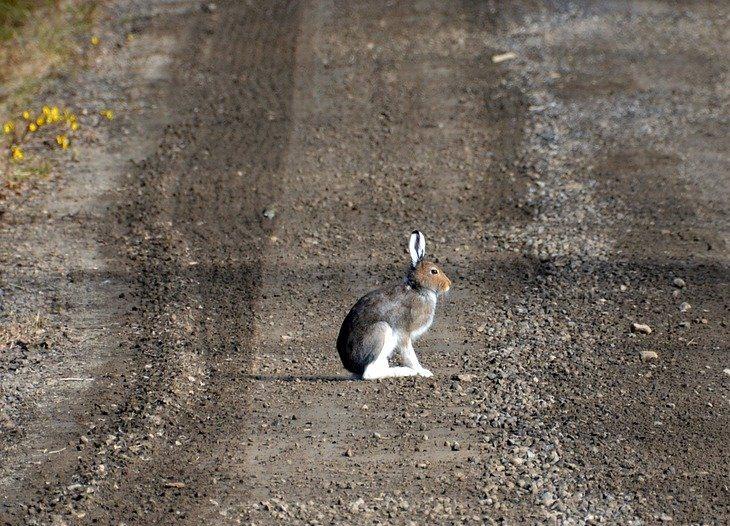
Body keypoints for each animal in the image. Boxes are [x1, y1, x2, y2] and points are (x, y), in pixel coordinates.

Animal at [337, 231, 451, 379]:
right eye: (434, 271)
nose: (449, 284)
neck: (418, 289)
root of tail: (351, 366)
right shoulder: (403, 333)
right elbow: (410, 355)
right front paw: (423, 372)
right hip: (380, 332)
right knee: (369, 373)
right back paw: (404, 371)